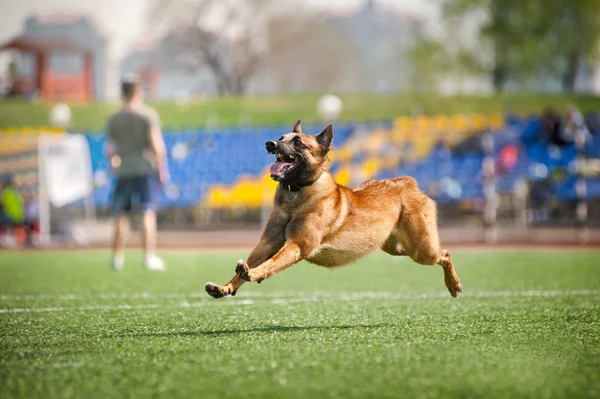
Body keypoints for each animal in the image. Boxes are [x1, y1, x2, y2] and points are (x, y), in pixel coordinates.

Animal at [204, 120, 462, 298]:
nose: (270, 143)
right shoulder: (267, 243)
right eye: (281, 137)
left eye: (298, 143)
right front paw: (225, 287)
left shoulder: (296, 246)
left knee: (445, 254)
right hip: (398, 247)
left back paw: (454, 285)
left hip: (421, 249)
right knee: (442, 253)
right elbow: (250, 264)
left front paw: (253, 274)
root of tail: (407, 182)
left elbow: (269, 264)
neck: (296, 195)